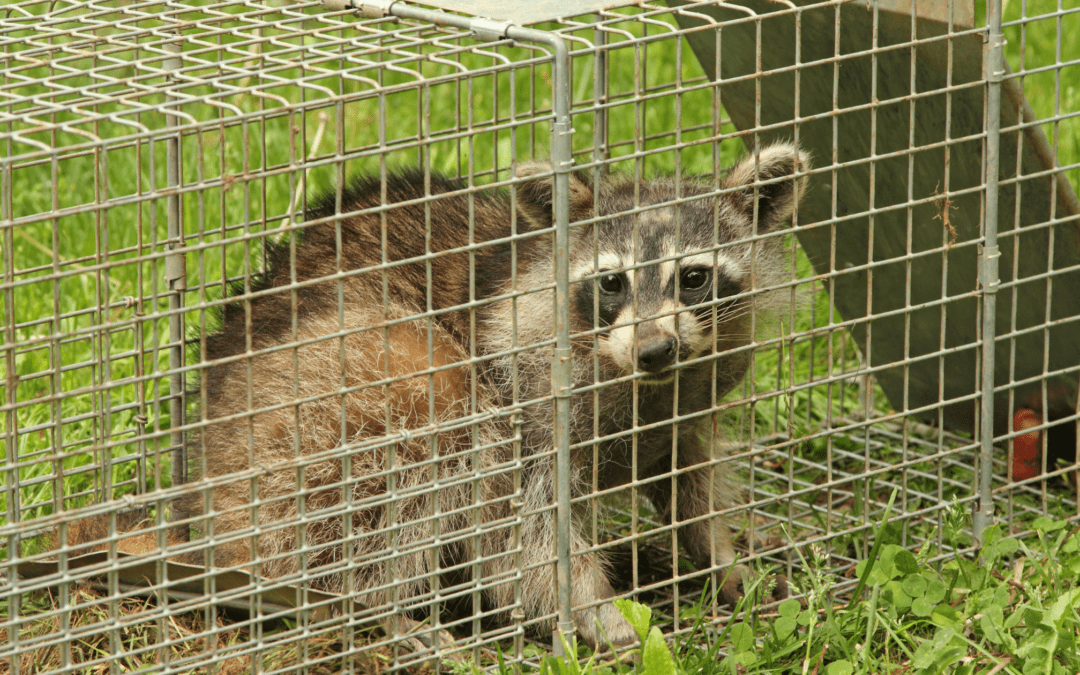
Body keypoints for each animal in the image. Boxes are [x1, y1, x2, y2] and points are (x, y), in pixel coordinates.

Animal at [152, 143, 806, 651]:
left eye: (693, 278)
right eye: (611, 282)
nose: (654, 349)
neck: (639, 381)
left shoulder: (690, 398)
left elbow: (690, 481)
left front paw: (723, 559)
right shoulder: (526, 402)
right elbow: (524, 536)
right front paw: (594, 607)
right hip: (311, 405)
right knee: (417, 431)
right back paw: (372, 606)